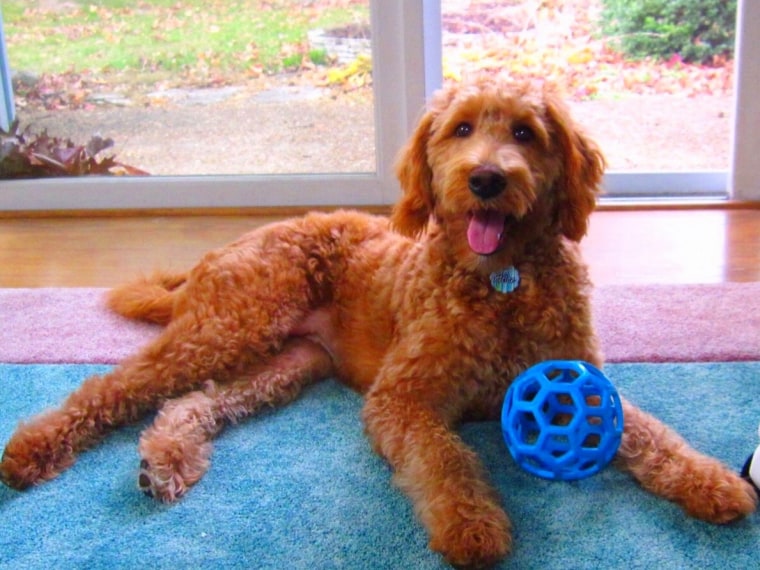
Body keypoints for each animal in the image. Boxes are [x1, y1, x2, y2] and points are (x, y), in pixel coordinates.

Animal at [1, 74, 756, 564]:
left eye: (525, 132)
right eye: (461, 129)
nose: (487, 179)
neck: (502, 280)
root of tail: (225, 248)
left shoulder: (581, 377)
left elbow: (653, 436)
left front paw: (714, 481)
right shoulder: (402, 398)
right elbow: (444, 459)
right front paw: (473, 529)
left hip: (282, 364)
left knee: (193, 403)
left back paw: (166, 460)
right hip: (230, 327)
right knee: (113, 385)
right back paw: (32, 449)